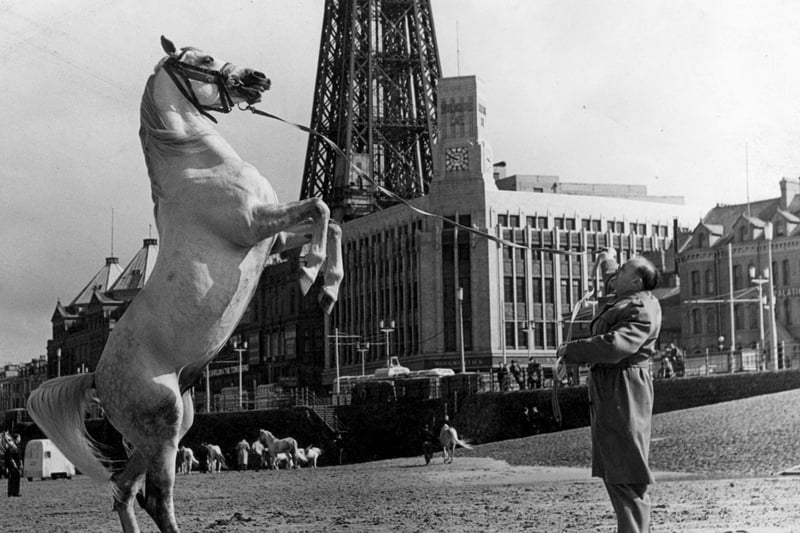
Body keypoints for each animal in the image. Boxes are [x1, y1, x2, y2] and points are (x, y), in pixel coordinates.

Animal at [27, 37, 340, 532]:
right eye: (205, 59)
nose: (259, 78)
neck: (195, 164)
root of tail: (96, 376)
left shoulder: (273, 235)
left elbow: (333, 222)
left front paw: (327, 285)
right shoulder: (255, 225)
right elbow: (322, 207)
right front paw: (312, 272)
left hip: (165, 433)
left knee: (124, 491)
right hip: (164, 427)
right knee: (154, 498)